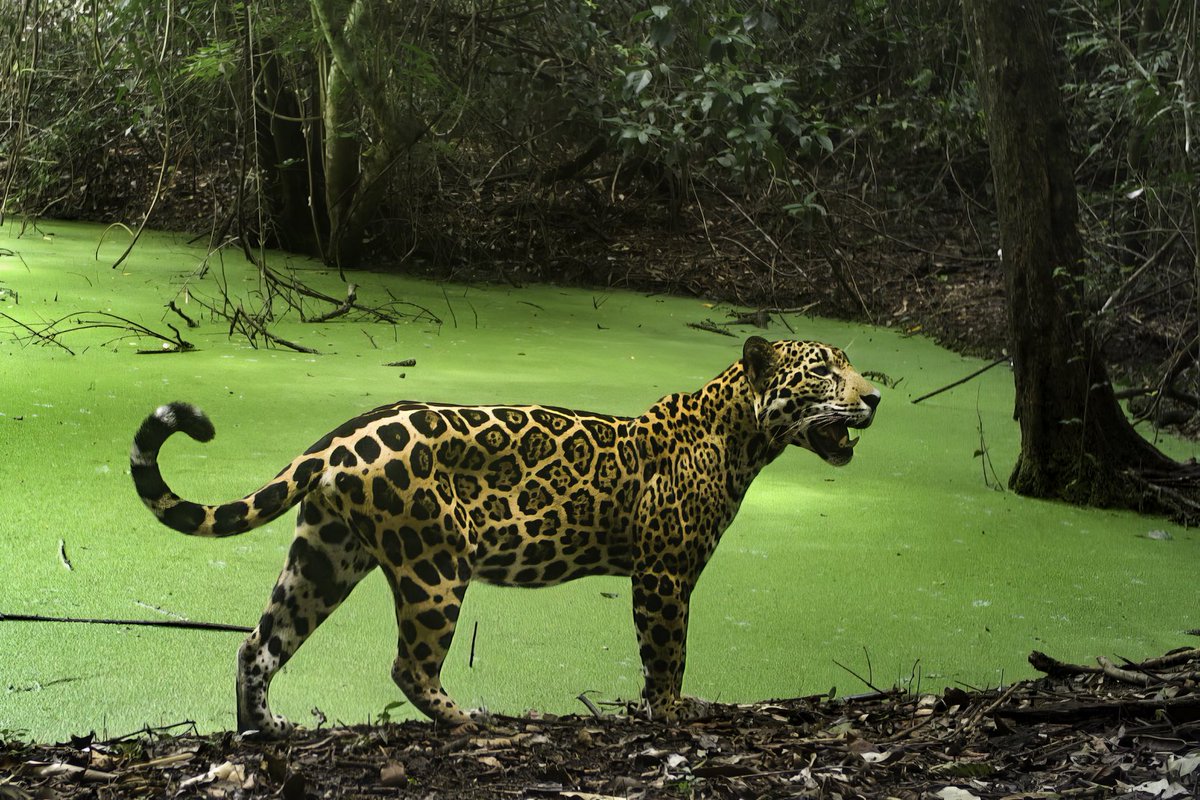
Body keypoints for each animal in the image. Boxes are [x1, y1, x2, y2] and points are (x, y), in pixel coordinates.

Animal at [130, 336, 880, 736]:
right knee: (408, 664)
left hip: (325, 557)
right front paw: (671, 713)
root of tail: (337, 440)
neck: (744, 436)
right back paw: (468, 718)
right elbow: (668, 654)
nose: (875, 397)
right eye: (823, 371)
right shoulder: (663, 575)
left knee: (257, 644)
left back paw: (264, 728)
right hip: (435, 565)